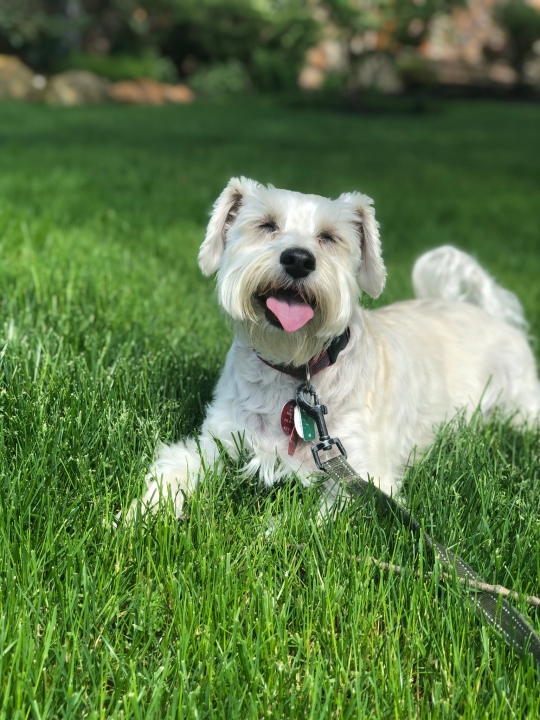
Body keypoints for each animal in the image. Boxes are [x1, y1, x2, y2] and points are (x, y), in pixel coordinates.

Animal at [131, 179, 540, 516]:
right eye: (266, 225)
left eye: (328, 237)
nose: (298, 259)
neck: (295, 366)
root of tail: (492, 314)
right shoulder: (217, 440)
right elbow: (175, 468)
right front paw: (138, 516)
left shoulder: (362, 474)